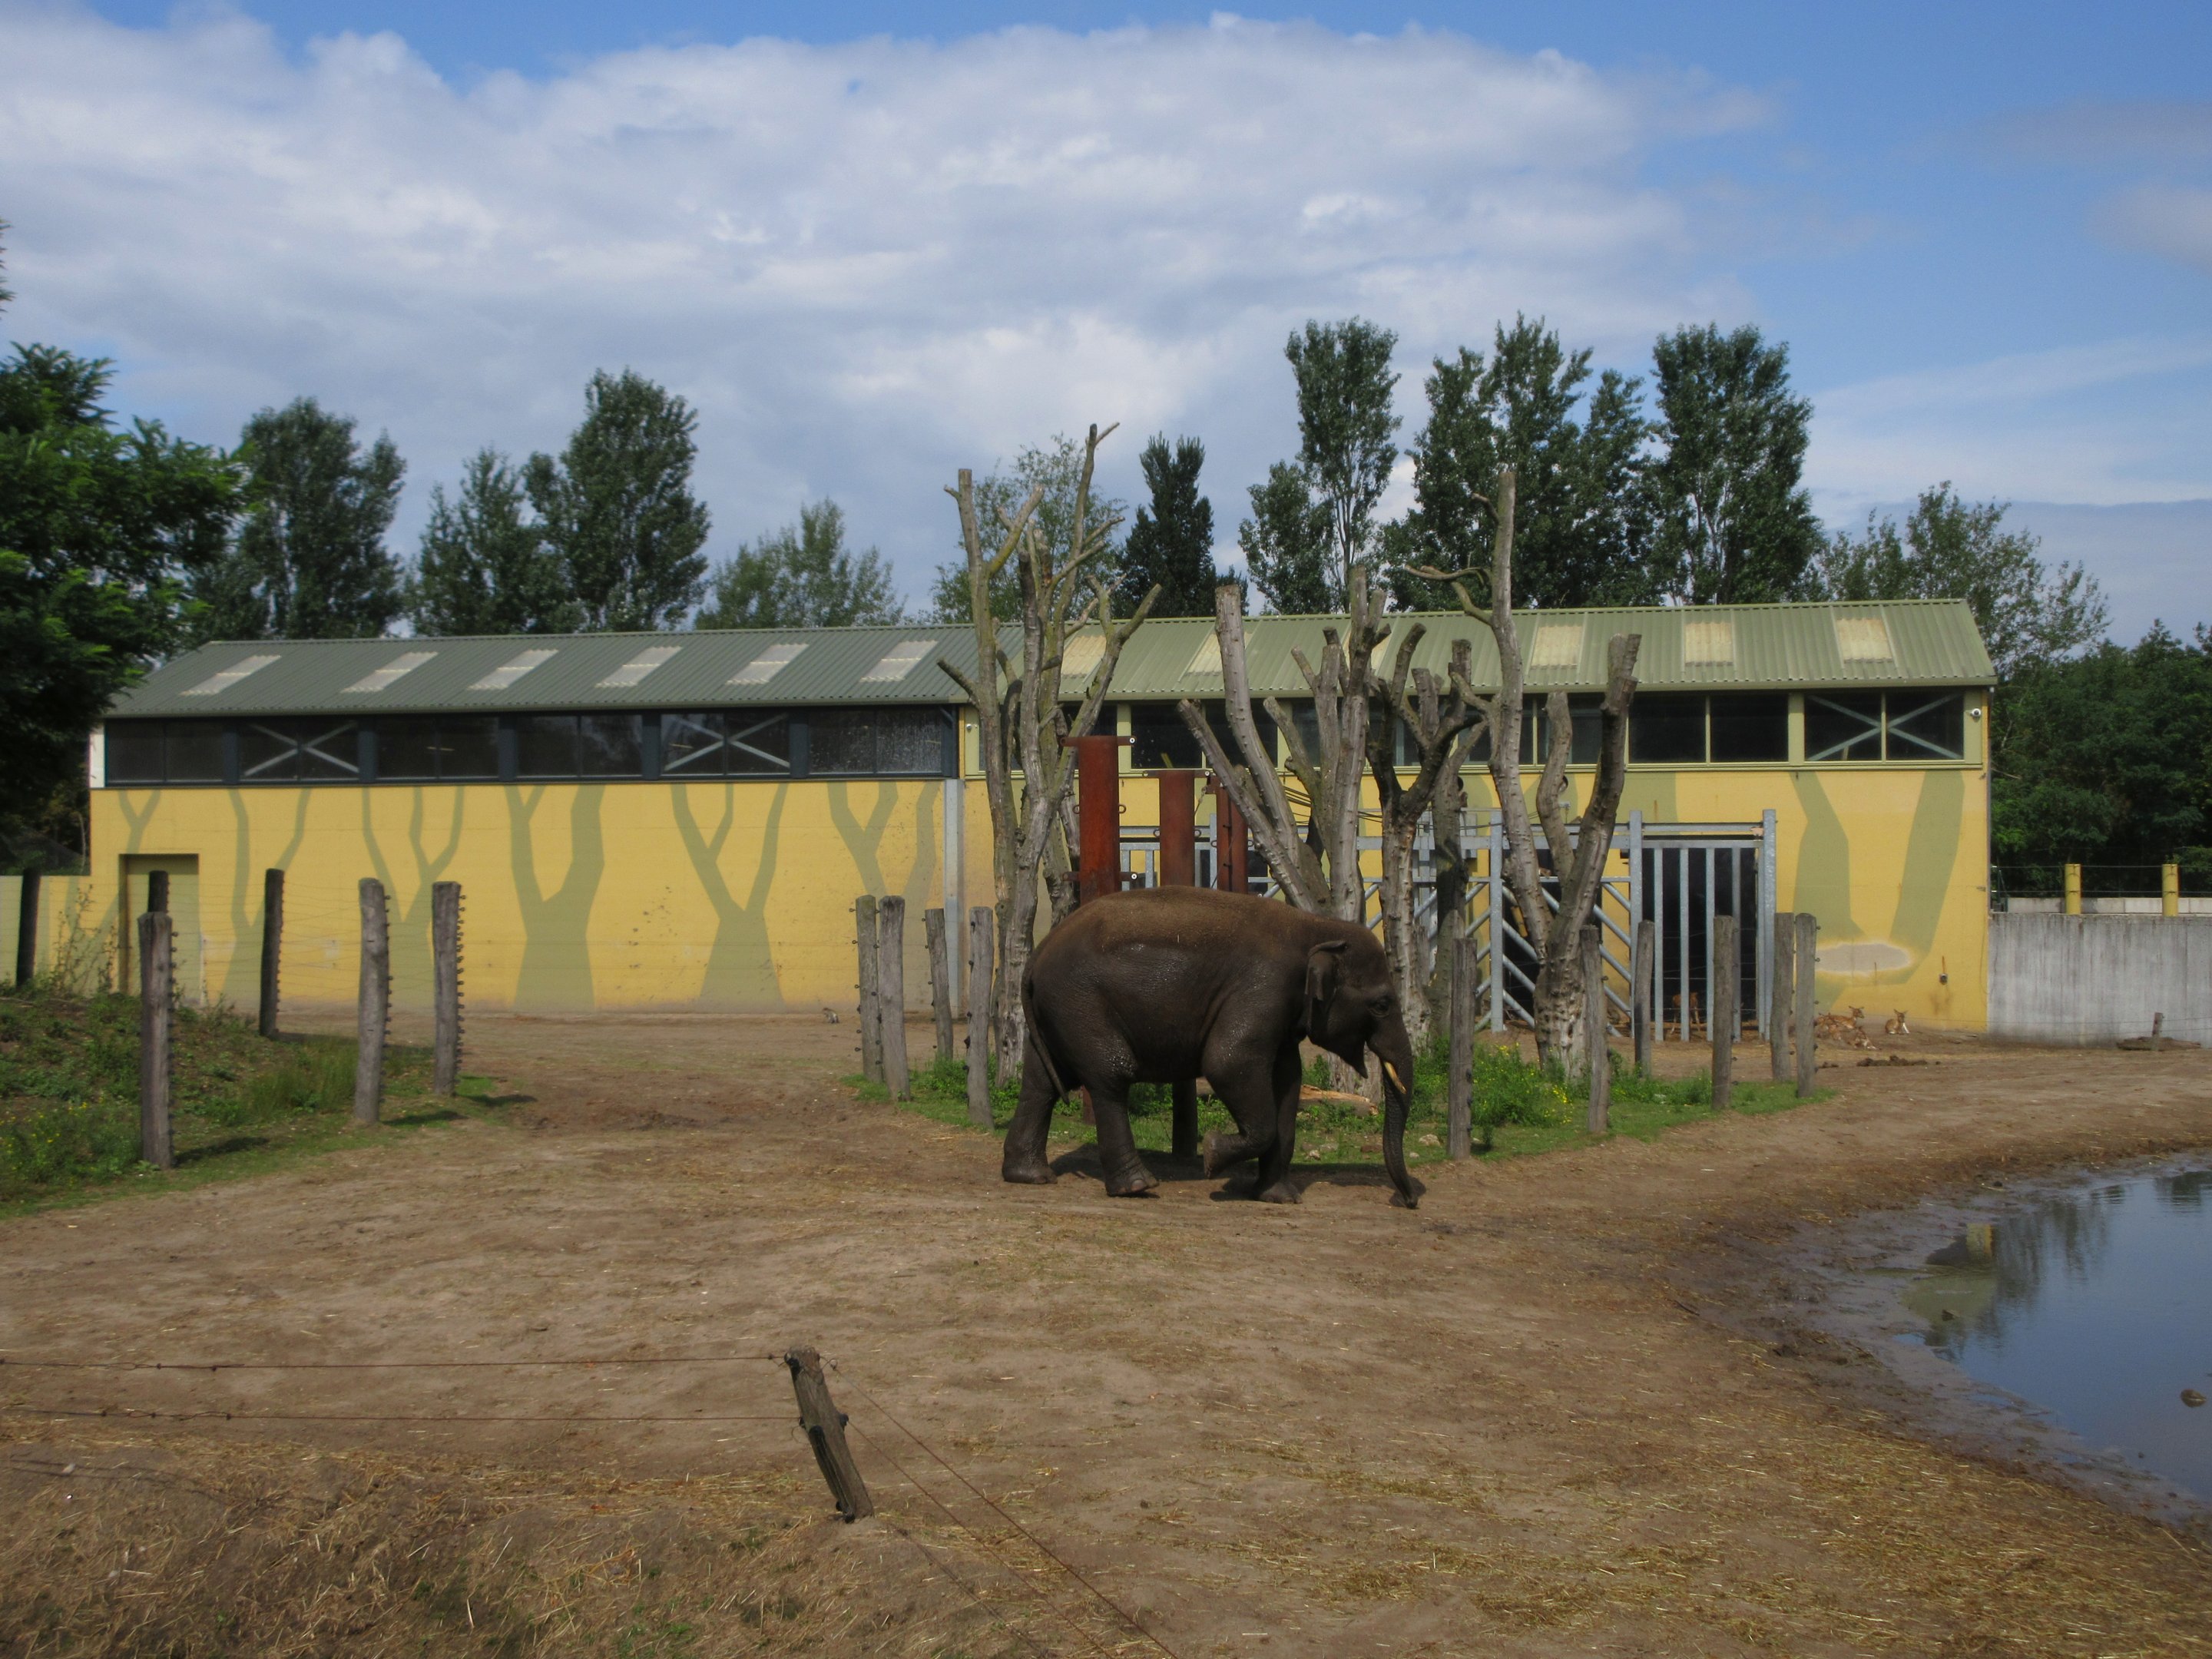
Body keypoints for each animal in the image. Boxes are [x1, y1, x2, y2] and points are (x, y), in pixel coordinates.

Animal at [1003, 887, 1422, 1208]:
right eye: (1382, 1005)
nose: (1407, 1201)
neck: (1316, 927)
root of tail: (1037, 956)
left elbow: (1287, 1080)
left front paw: (1279, 1199)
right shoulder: (1264, 986)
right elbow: (1227, 1062)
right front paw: (1211, 1154)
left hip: (1059, 1012)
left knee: (1040, 1083)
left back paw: (1031, 1177)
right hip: (1081, 1005)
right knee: (1111, 1075)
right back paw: (1138, 1187)